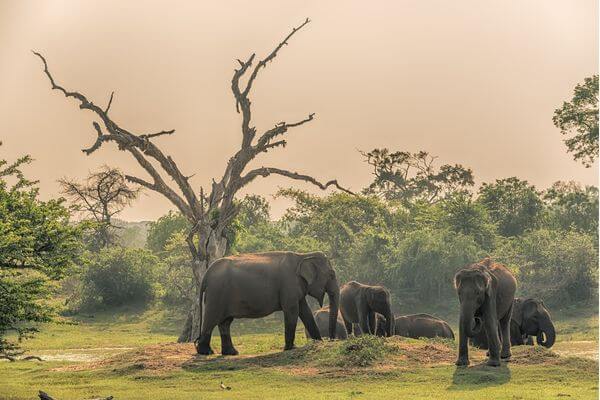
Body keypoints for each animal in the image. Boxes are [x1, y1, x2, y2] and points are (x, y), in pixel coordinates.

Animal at [194, 251, 340, 355]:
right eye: (332, 275)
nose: (332, 340)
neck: (303, 256)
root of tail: (206, 274)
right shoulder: (288, 285)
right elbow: (292, 311)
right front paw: (290, 348)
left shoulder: (296, 288)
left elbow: (305, 311)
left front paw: (319, 343)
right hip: (216, 294)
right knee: (211, 319)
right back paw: (206, 352)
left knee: (225, 322)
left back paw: (231, 353)